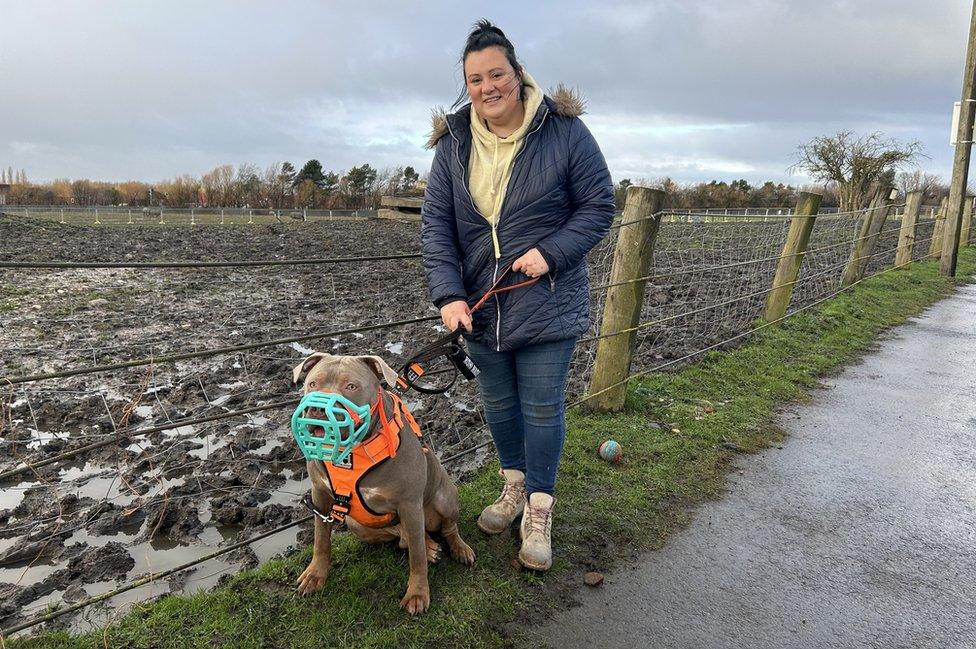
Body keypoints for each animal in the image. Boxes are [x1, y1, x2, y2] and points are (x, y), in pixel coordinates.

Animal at [290, 352, 476, 616]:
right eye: (312, 383)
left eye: (351, 386)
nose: (316, 408)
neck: (352, 454)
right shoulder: (321, 496)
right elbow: (321, 540)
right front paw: (315, 575)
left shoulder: (409, 504)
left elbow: (417, 559)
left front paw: (417, 593)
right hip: (355, 523)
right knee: (401, 533)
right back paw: (425, 543)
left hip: (445, 498)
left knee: (447, 529)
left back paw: (459, 548)